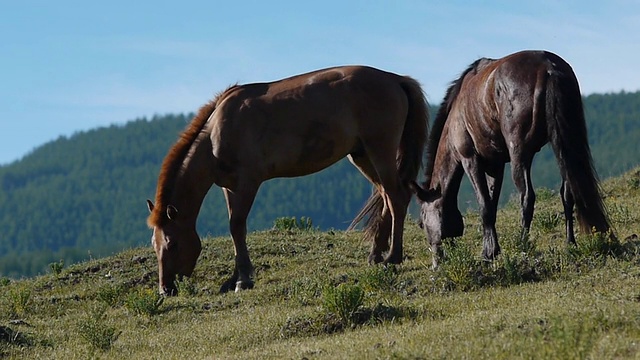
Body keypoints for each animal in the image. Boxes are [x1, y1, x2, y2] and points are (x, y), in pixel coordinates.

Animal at [147, 65, 428, 296]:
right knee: (386, 197)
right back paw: (376, 255)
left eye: (171, 243)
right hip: (362, 156)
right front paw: (233, 279)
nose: (165, 290)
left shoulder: (246, 184)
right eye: (154, 244)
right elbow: (234, 228)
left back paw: (393, 257)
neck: (217, 132)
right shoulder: (229, 187)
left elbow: (237, 227)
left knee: (396, 197)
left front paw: (243, 280)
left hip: (379, 150)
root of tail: (395, 79)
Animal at [412, 49, 612, 266]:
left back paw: (522, 245)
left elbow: (485, 205)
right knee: (568, 192)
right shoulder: (495, 165)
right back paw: (570, 243)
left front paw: (489, 253)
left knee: (527, 196)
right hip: (562, 146)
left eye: (422, 222)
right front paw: (490, 249)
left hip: (519, 154)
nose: (436, 263)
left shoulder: (470, 160)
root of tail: (548, 67)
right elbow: (492, 205)